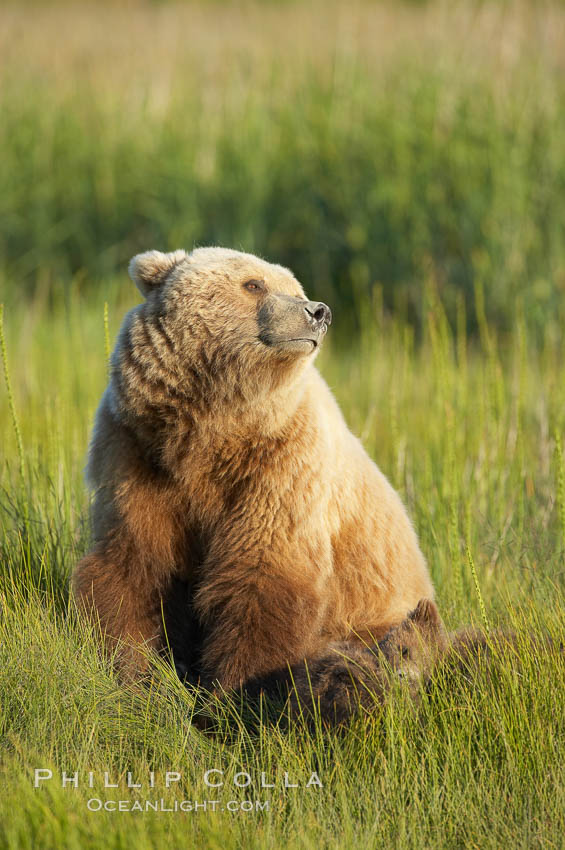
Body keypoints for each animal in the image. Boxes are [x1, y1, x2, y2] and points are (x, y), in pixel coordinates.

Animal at [72, 247, 434, 692]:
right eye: (254, 284)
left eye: (295, 288)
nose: (318, 311)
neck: (212, 429)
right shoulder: (137, 452)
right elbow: (136, 562)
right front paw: (136, 670)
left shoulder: (281, 464)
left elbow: (261, 575)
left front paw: (234, 689)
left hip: (379, 618)